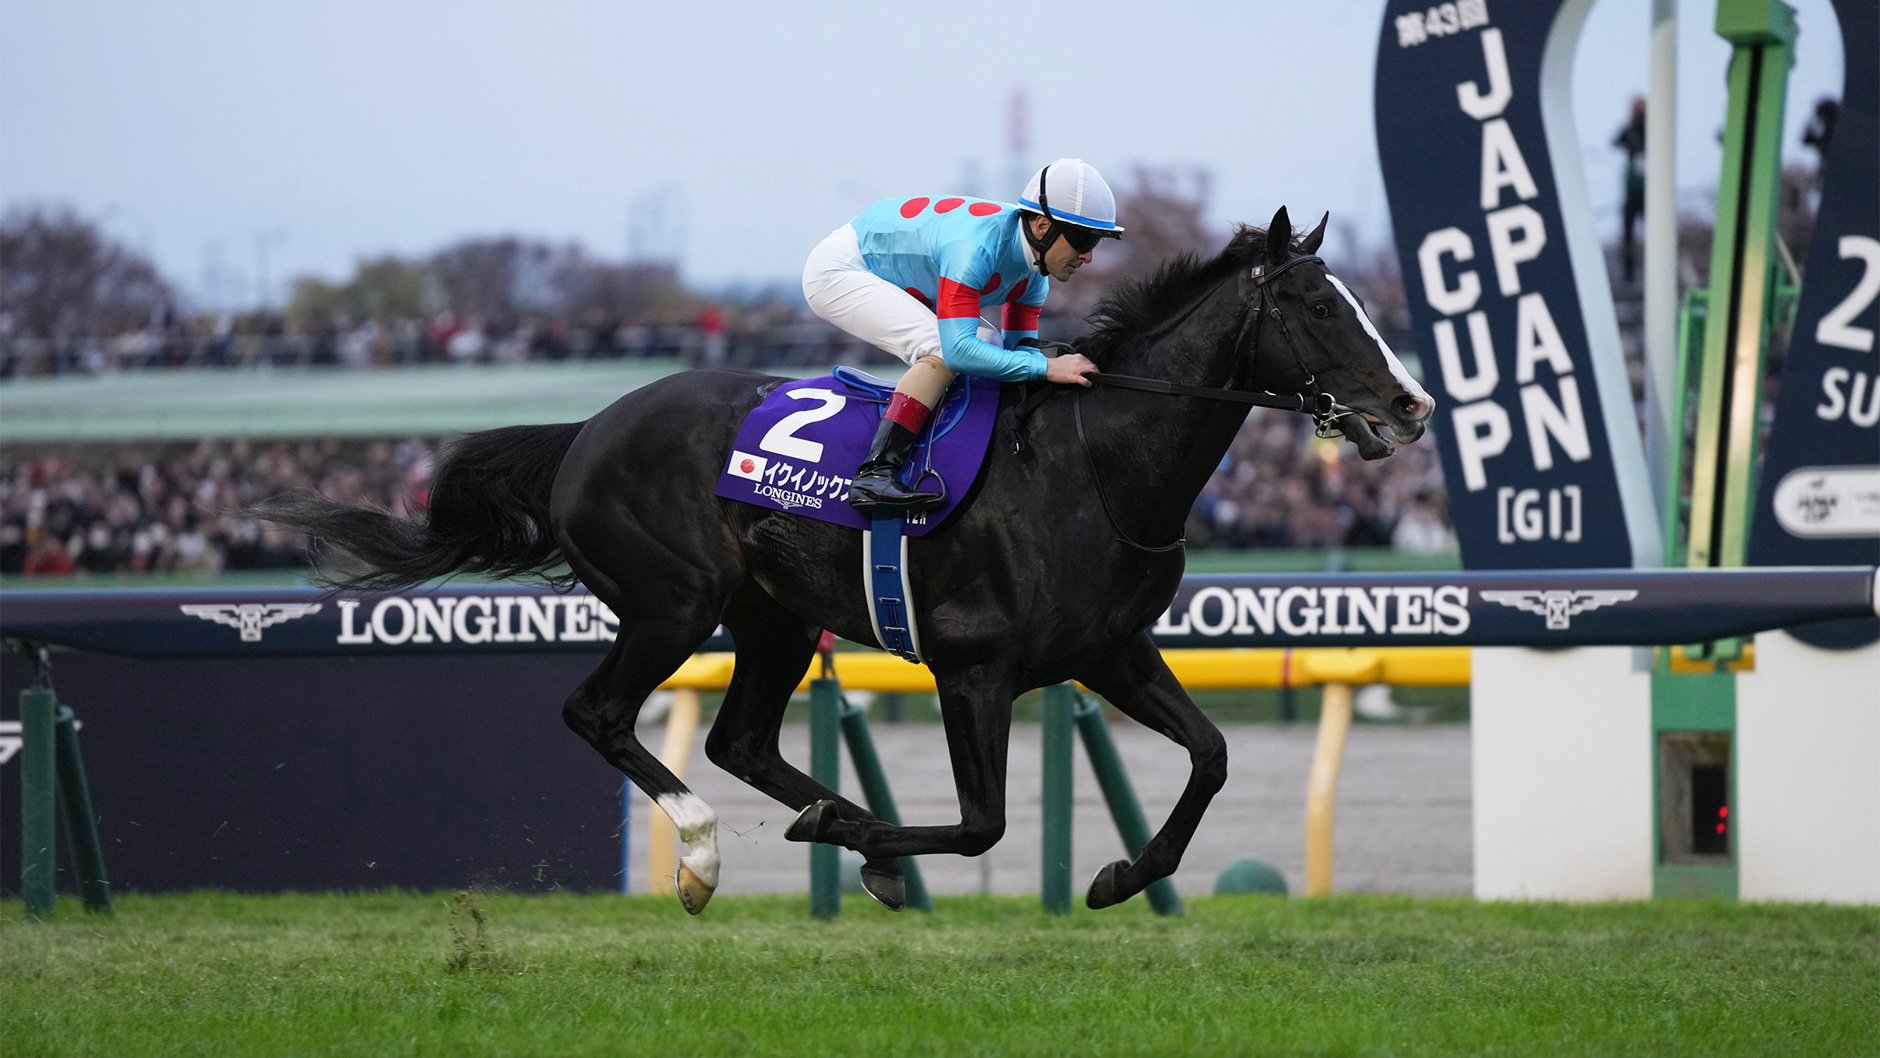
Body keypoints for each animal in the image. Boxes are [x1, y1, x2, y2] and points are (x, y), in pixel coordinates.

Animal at [257, 206, 1434, 915]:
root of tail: (588, 428)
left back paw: (841, 822)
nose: (1413, 403)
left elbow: (1212, 756)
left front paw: (1116, 876)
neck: (1095, 467)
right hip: (673, 603)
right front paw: (872, 844)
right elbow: (982, 822)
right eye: (1317, 304)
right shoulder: (973, 667)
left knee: (737, 738)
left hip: (773, 616)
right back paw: (705, 853)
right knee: (600, 714)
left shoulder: (1110, 652)